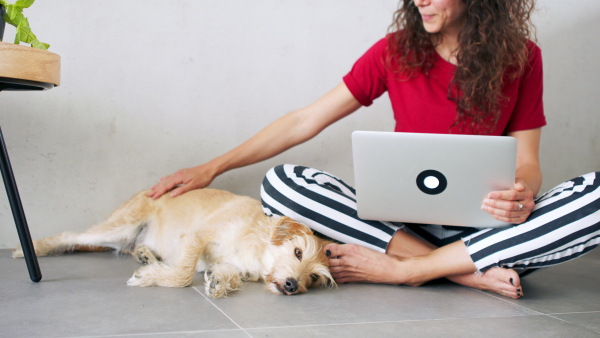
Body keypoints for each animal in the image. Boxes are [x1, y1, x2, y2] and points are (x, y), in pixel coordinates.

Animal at [11, 189, 336, 298]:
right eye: (297, 252)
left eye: (313, 277)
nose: (293, 285)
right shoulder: (197, 237)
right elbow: (182, 275)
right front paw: (148, 279)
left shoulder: (234, 264)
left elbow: (227, 274)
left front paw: (219, 282)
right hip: (119, 227)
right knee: (70, 238)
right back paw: (32, 248)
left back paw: (145, 254)